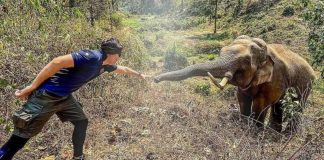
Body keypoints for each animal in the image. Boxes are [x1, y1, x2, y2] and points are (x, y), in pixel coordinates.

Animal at [156, 35, 316, 132]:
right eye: (221, 51)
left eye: (245, 61)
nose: (155, 79)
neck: (264, 51)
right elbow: (242, 98)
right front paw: (244, 125)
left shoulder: (275, 78)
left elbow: (261, 103)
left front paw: (254, 132)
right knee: (279, 105)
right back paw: (274, 132)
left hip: (306, 84)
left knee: (297, 106)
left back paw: (286, 134)